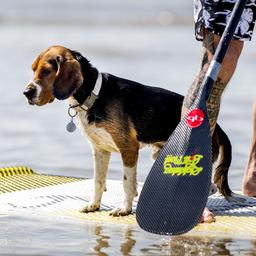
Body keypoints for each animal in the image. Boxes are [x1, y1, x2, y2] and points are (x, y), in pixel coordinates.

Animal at [23, 45, 232, 216]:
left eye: (46, 71)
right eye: (33, 70)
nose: (26, 93)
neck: (95, 94)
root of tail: (216, 125)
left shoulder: (128, 148)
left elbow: (126, 182)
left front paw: (124, 209)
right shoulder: (100, 150)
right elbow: (98, 181)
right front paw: (94, 205)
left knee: (209, 187)